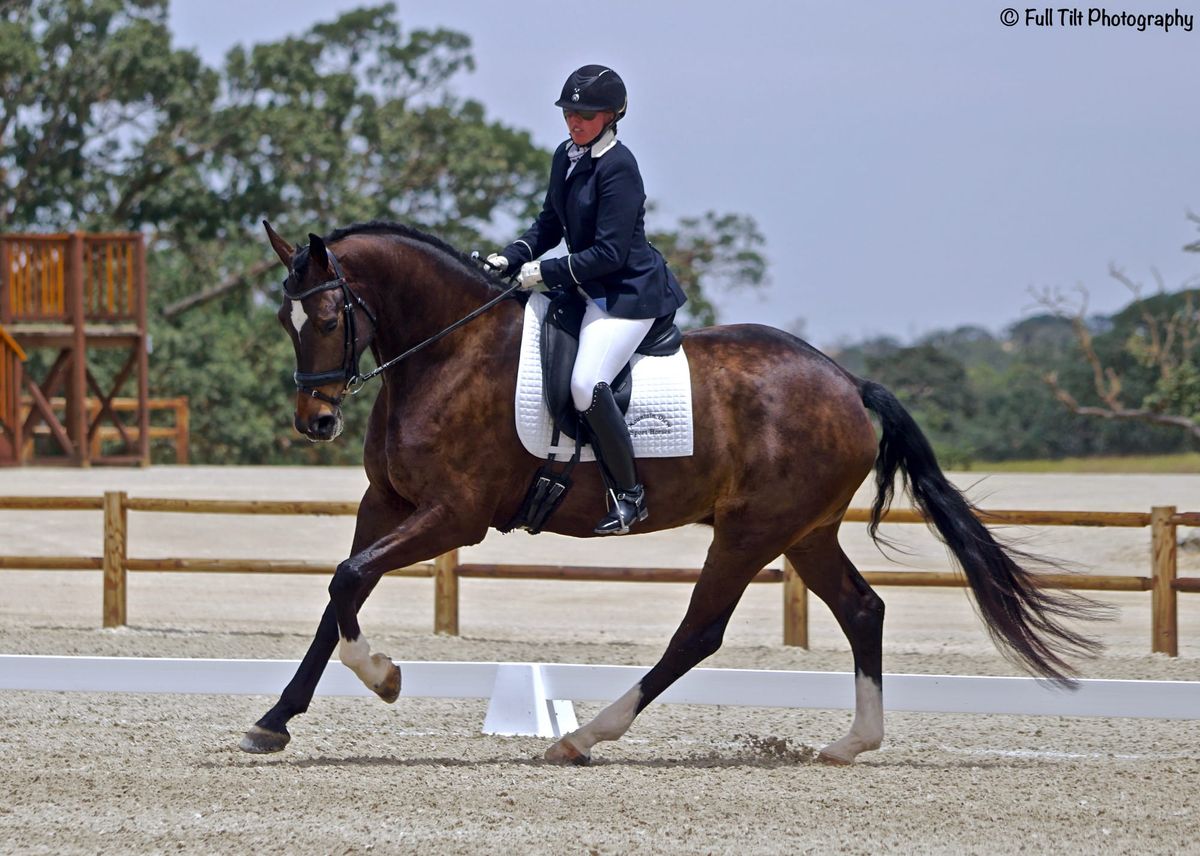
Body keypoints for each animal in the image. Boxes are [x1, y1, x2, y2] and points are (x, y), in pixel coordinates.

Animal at [241, 219, 1102, 765]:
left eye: (328, 315)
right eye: (285, 320)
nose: (316, 420)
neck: (449, 351)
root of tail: (849, 383)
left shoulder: (456, 515)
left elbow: (348, 581)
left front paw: (385, 676)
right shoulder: (386, 505)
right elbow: (339, 595)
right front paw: (274, 721)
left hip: (752, 533)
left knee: (699, 633)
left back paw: (581, 738)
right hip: (805, 532)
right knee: (862, 610)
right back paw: (850, 743)